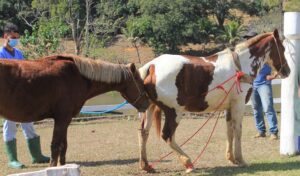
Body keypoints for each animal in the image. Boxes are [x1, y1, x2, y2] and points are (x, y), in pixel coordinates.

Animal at [0, 54, 150, 166]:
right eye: (140, 81)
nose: (147, 104)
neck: (77, 76)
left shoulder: (66, 120)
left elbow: (63, 146)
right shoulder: (61, 119)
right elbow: (55, 146)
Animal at [138, 29, 290, 173]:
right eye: (282, 48)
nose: (287, 71)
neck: (240, 65)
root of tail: (151, 66)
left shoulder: (229, 107)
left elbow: (229, 130)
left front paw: (231, 158)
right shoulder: (238, 104)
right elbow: (238, 130)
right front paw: (240, 159)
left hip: (149, 109)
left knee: (144, 132)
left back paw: (146, 165)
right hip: (174, 112)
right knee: (167, 136)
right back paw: (188, 162)